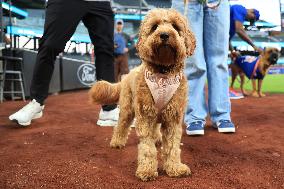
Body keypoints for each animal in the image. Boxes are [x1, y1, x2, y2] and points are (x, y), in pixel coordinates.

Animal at [89, 9, 195, 182]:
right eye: (154, 27)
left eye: (175, 26)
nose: (164, 35)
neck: (163, 73)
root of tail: (127, 74)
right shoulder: (145, 115)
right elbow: (147, 147)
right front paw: (147, 170)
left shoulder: (173, 117)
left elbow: (172, 146)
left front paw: (175, 168)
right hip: (127, 109)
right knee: (121, 126)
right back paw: (117, 142)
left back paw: (157, 138)